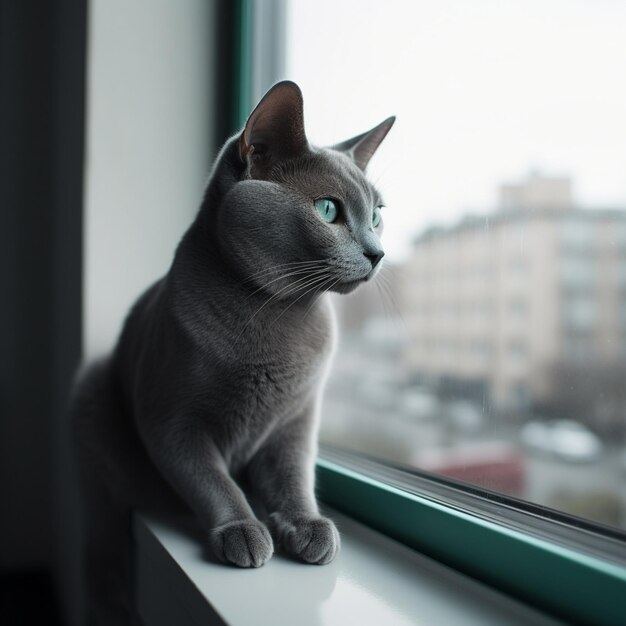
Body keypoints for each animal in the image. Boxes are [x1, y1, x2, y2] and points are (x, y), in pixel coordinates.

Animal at [70, 80, 392, 620]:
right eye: (328, 210)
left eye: (376, 216)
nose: (378, 252)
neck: (279, 315)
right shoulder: (172, 423)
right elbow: (213, 482)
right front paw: (242, 531)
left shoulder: (295, 423)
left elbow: (294, 477)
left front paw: (307, 527)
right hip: (94, 396)